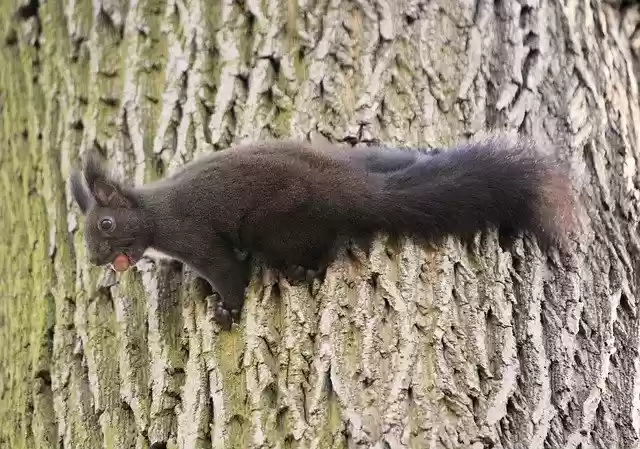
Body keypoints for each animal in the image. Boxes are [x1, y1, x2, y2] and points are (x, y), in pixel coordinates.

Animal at [69, 134, 577, 330]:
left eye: (106, 225)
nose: (95, 260)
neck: (153, 212)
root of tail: (357, 191)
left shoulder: (194, 236)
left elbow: (227, 272)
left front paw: (226, 312)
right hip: (372, 162)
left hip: (274, 225)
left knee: (324, 249)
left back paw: (306, 272)